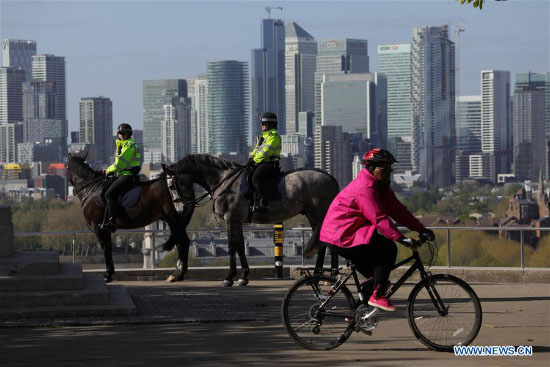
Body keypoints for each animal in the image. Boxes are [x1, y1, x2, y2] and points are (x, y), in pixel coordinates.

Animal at [68, 154, 195, 284]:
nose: (72, 191)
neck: (91, 189)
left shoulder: (97, 226)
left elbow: (105, 248)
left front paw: (108, 274)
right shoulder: (105, 229)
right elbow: (109, 247)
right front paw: (110, 272)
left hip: (174, 218)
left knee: (182, 242)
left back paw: (178, 274)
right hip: (174, 219)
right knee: (181, 242)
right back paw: (179, 273)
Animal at [162, 154, 338, 286]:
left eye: (171, 186)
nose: (181, 209)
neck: (224, 182)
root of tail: (330, 177)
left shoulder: (230, 219)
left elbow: (232, 245)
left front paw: (229, 277)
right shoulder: (237, 221)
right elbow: (240, 245)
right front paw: (243, 276)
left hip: (316, 214)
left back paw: (324, 276)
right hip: (314, 216)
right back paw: (323, 276)